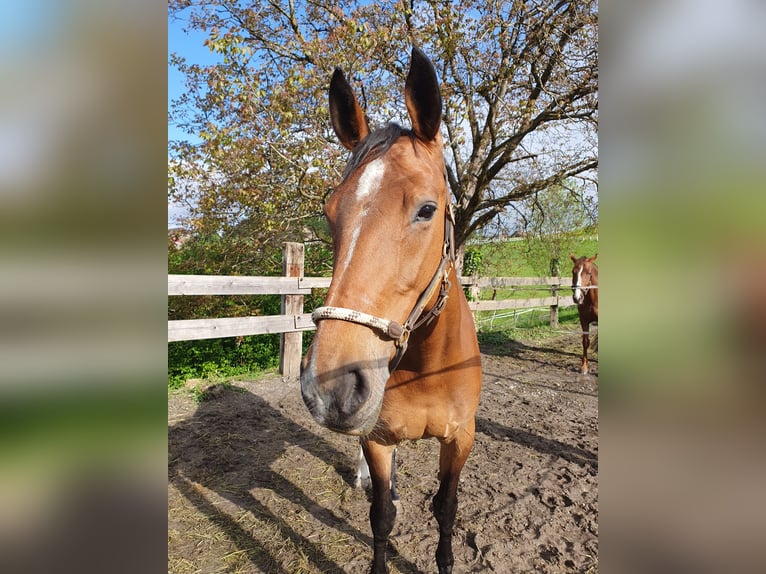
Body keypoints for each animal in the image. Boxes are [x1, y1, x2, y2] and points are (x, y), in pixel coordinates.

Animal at [300, 47, 483, 574]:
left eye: (426, 209)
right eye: (329, 213)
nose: (332, 386)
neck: (428, 366)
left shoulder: (461, 439)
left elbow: (446, 508)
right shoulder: (377, 438)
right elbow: (381, 515)